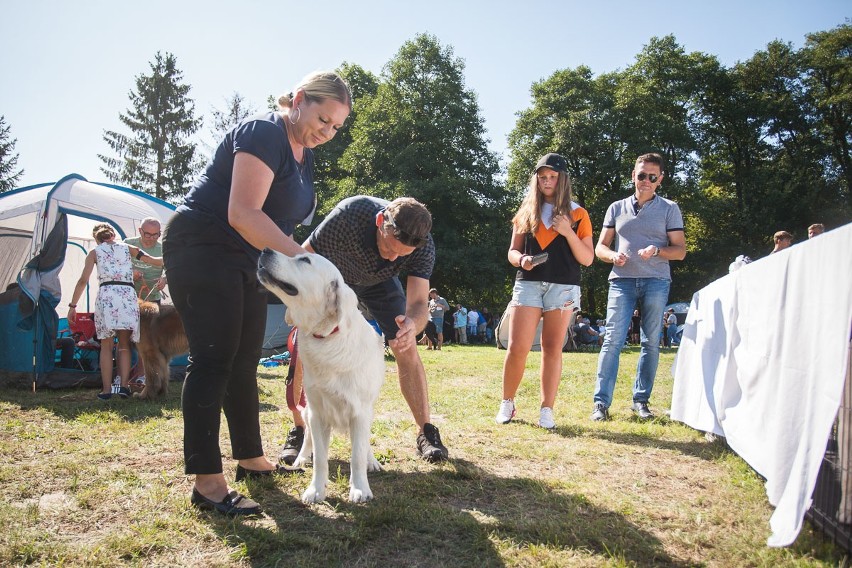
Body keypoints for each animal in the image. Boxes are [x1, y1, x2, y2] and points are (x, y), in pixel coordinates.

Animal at [255, 248, 384, 502]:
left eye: (305, 260)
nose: (265, 250)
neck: (327, 337)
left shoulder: (360, 413)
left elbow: (357, 455)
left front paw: (360, 488)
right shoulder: (318, 413)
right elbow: (321, 459)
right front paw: (316, 490)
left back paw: (371, 460)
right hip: (307, 409)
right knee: (307, 438)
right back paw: (301, 458)